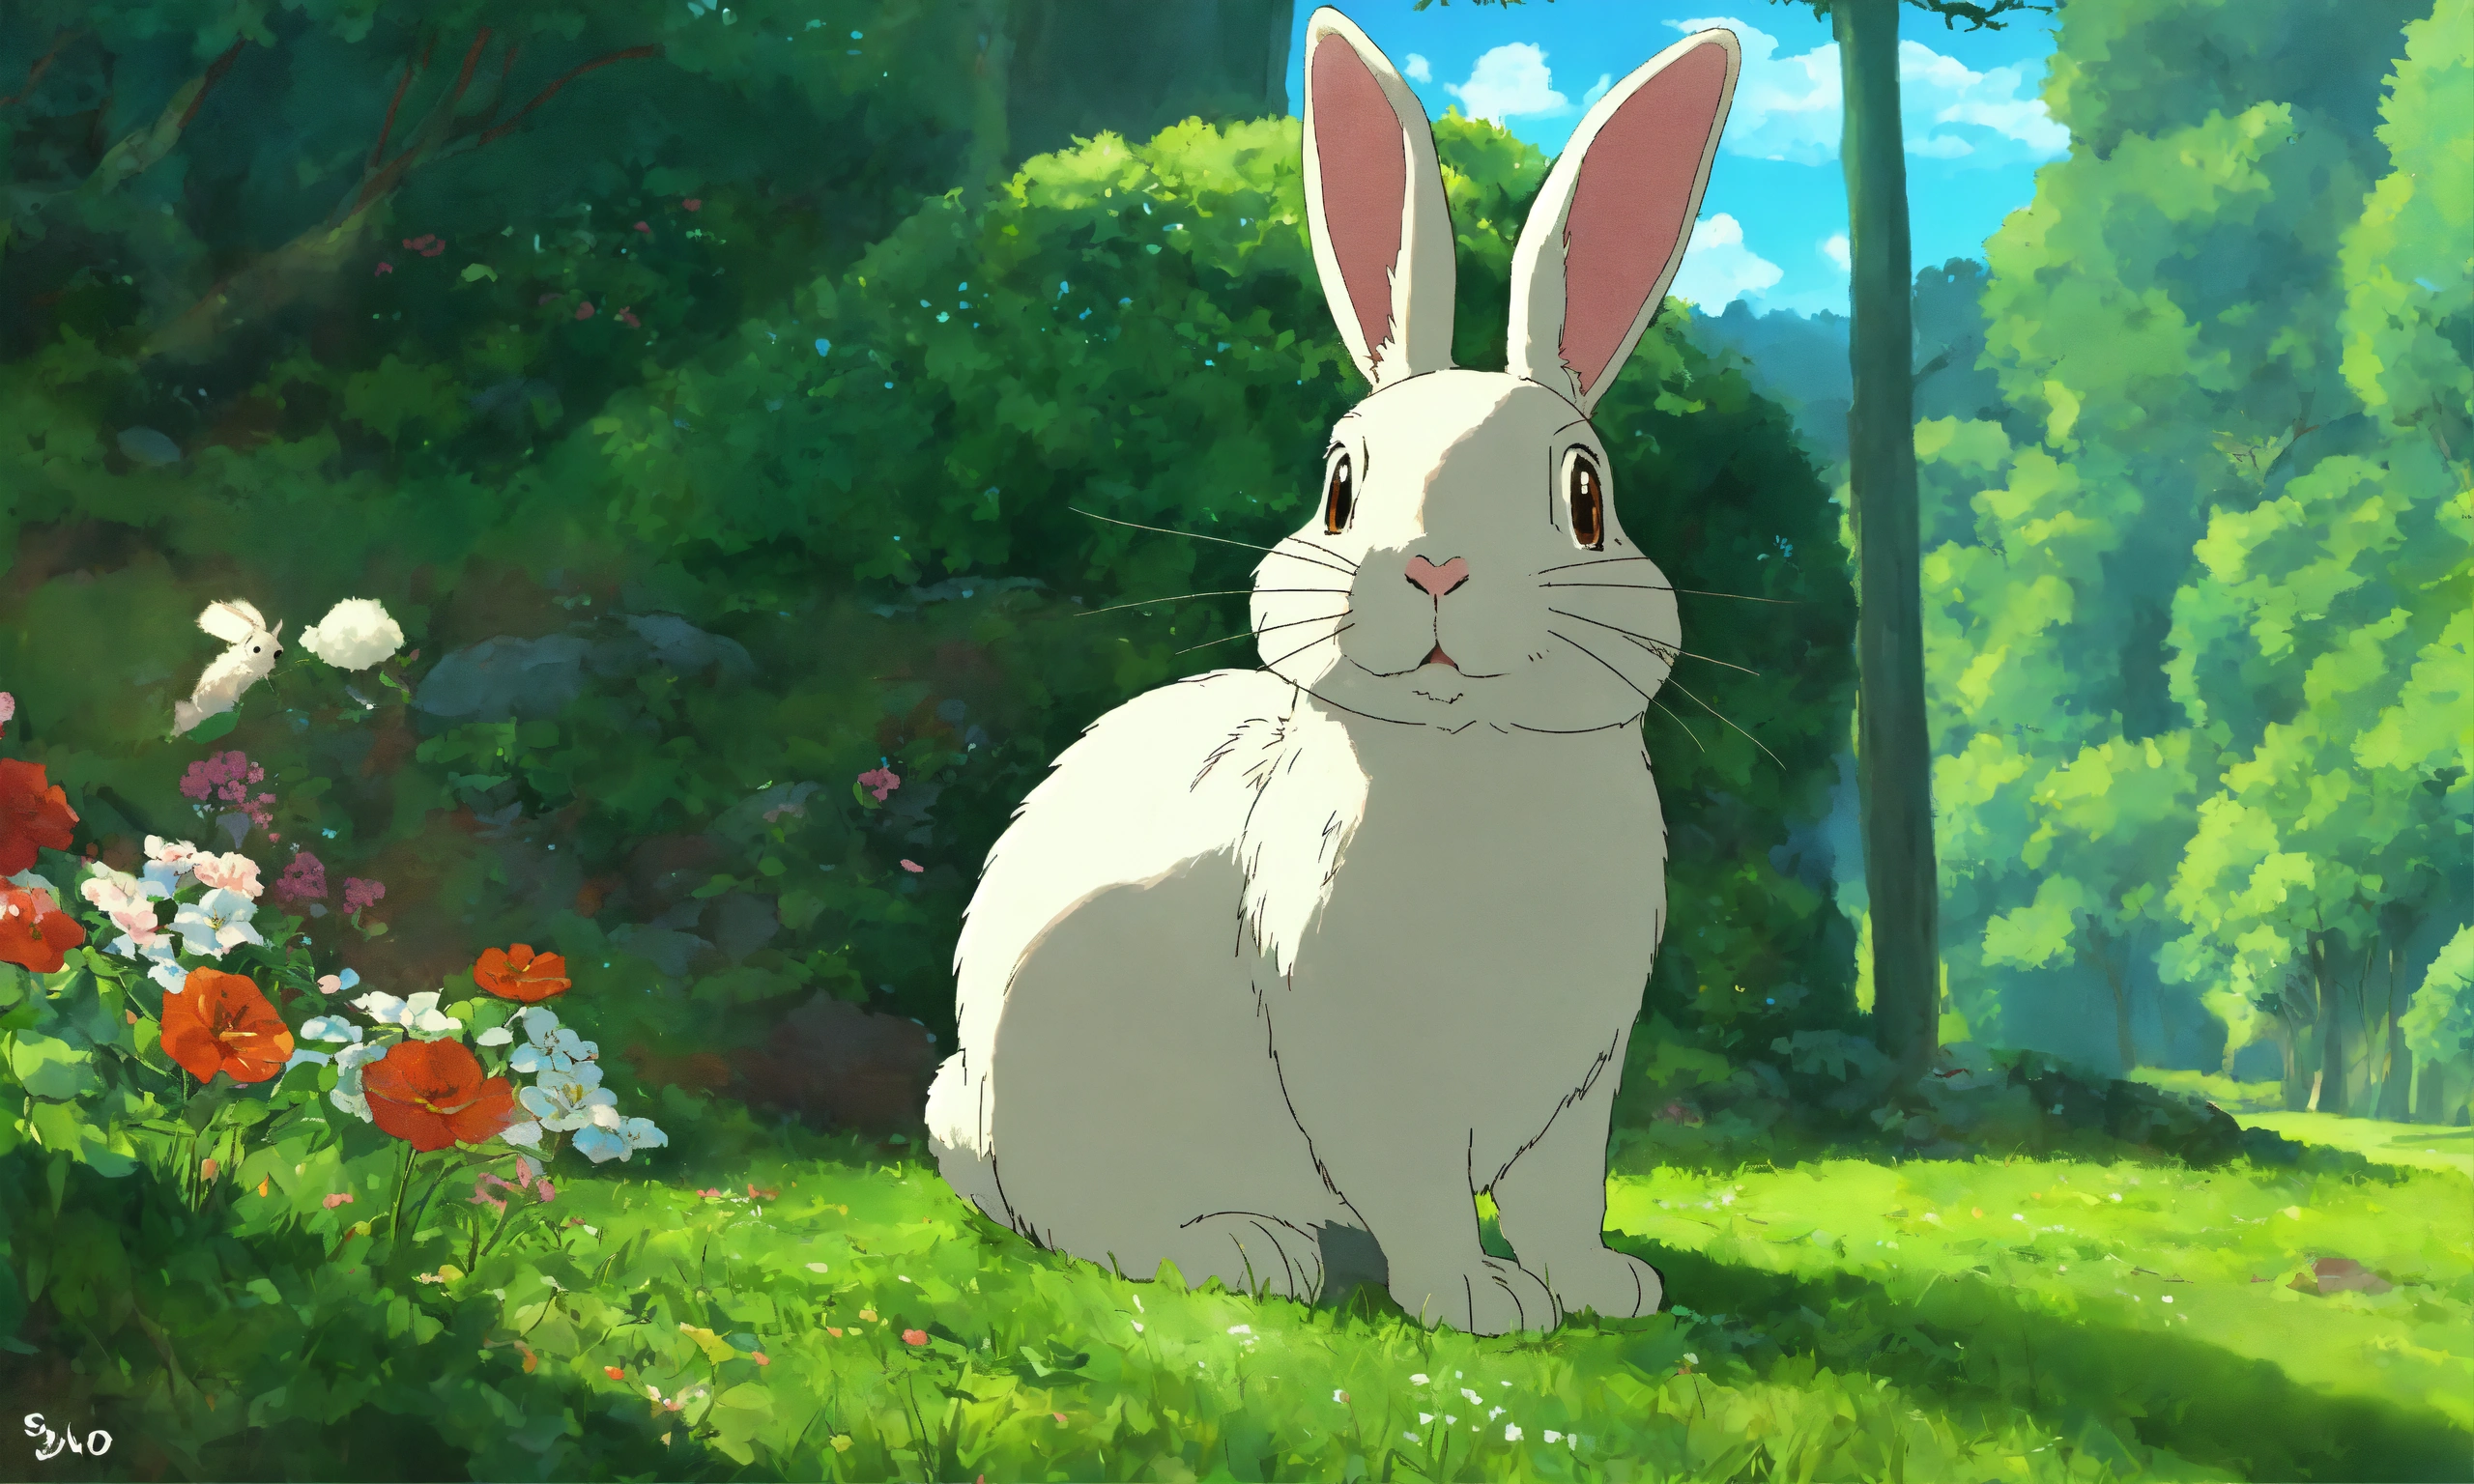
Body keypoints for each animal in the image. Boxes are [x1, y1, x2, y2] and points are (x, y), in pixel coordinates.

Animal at [924, 6, 1741, 1336]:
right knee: (1097, 1224)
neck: (1477, 760)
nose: (1435, 569)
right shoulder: (1364, 1066)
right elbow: (1418, 1190)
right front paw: (1477, 1302)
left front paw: (1603, 1289)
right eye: (1341, 486)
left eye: (1584, 497)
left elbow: (1562, 1198)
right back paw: (1253, 1251)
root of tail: (972, 1131)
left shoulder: (1579, 1083)